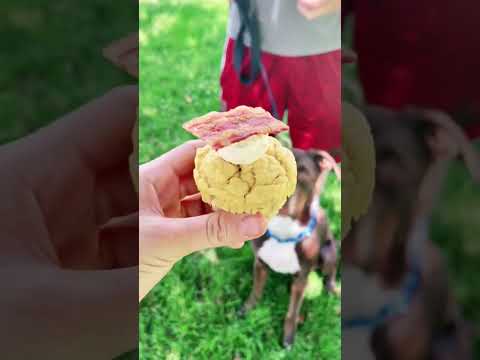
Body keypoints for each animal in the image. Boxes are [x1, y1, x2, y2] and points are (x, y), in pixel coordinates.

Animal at [240, 148, 342, 348]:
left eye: (303, 172)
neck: (283, 232)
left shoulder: (301, 278)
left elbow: (292, 313)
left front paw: (288, 338)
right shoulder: (260, 264)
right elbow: (255, 292)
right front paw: (248, 309)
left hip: (328, 252)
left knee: (330, 274)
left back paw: (333, 290)